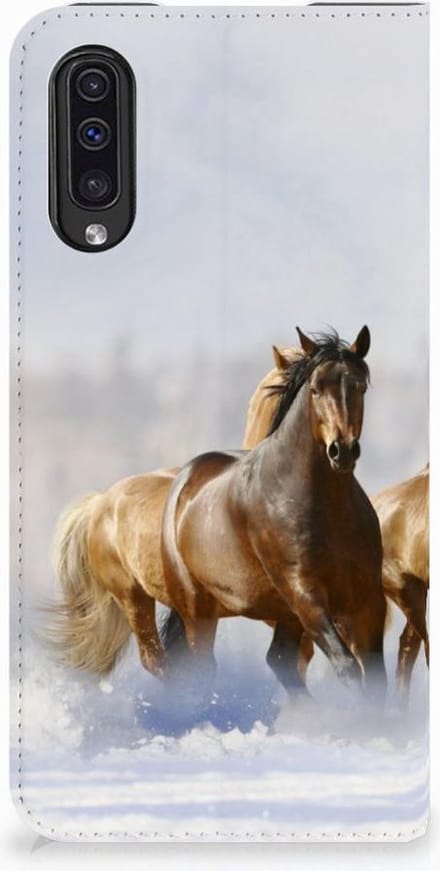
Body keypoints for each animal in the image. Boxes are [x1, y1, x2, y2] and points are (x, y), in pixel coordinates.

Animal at [159, 326, 387, 703]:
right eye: (315, 388)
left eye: (360, 386)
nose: (342, 450)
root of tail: (184, 481)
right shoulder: (305, 593)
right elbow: (348, 666)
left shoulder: (367, 598)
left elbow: (376, 676)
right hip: (198, 609)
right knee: (203, 668)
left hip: (284, 614)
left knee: (280, 659)